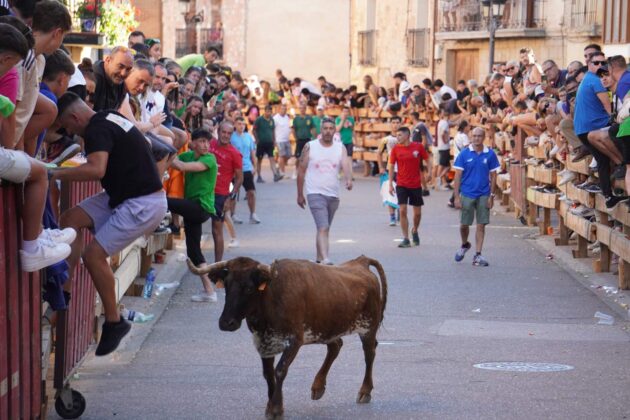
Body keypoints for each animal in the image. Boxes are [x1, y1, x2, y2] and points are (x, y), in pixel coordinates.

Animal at [188, 254, 388, 418]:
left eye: (249, 288)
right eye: (227, 286)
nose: (226, 323)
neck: (270, 299)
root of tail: (361, 262)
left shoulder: (294, 341)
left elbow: (280, 370)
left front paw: (276, 408)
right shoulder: (263, 342)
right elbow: (268, 374)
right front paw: (273, 405)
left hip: (368, 328)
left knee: (369, 354)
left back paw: (365, 391)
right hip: (326, 329)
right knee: (335, 346)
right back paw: (318, 386)